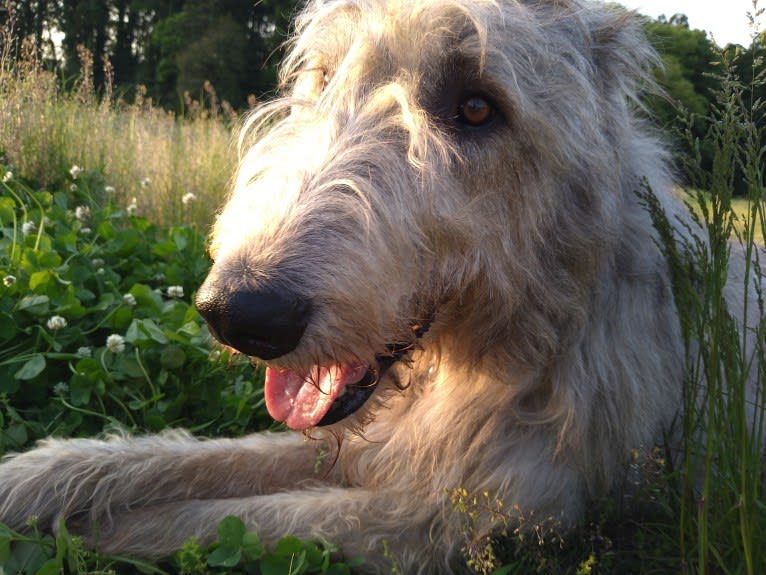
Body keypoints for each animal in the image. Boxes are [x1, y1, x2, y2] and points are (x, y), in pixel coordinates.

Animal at [0, 0, 760, 572]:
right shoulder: (380, 443)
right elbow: (192, 456)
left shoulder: (468, 517)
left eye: (477, 107)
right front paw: (36, 477)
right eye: (323, 78)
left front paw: (89, 534)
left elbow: (226, 518)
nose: (238, 313)